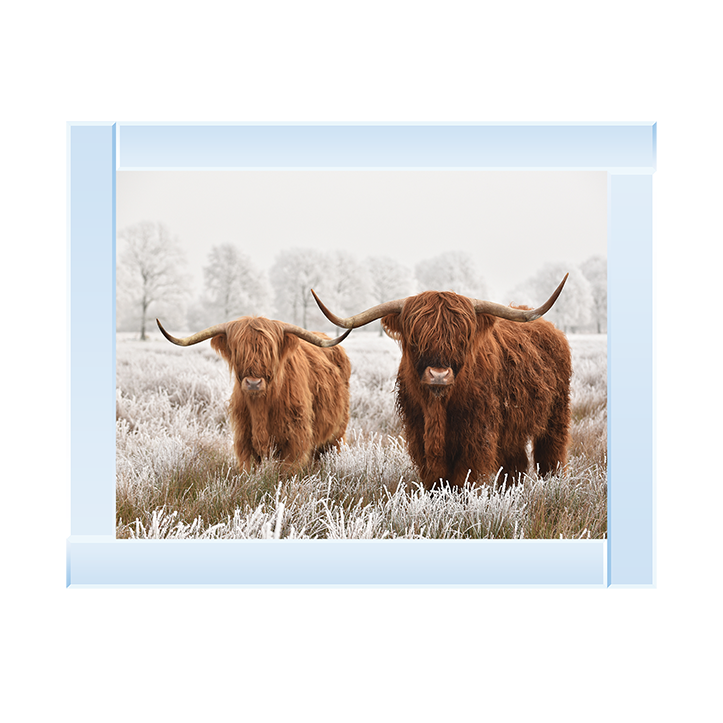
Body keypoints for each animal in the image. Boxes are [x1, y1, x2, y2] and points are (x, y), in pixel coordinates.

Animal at [156, 316, 352, 475]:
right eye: (238, 351)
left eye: (270, 351)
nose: (253, 383)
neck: (261, 407)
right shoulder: (244, 439)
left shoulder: (295, 440)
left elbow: (286, 473)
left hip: (337, 433)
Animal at [311, 276, 571, 489]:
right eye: (415, 337)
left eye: (462, 338)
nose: (438, 374)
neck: (438, 407)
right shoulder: (418, 432)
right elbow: (435, 479)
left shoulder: (477, 435)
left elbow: (463, 479)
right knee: (515, 463)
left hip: (556, 415)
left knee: (550, 454)